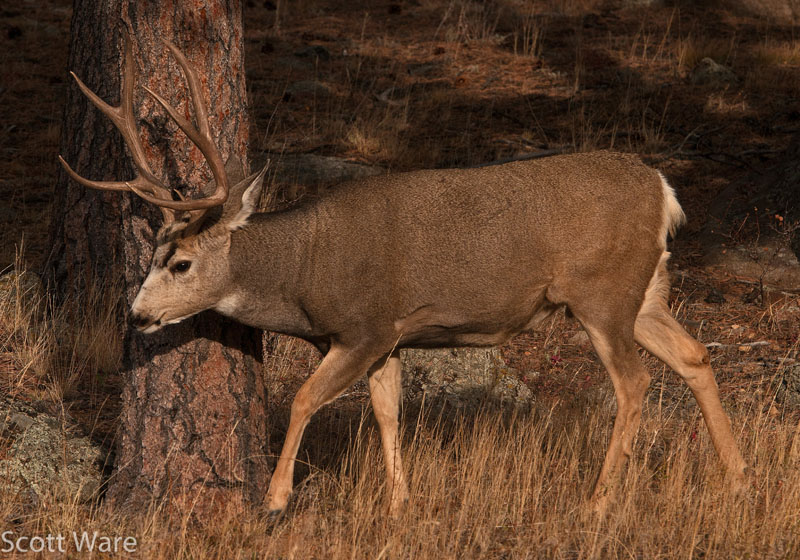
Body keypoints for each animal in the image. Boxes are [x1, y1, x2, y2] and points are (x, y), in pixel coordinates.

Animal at [59, 37, 749, 518]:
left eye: (180, 262)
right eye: (150, 254)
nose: (138, 315)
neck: (303, 271)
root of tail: (662, 190)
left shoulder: (363, 325)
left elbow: (306, 397)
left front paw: (276, 499)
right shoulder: (390, 337)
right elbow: (387, 412)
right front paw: (400, 504)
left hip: (600, 291)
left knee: (634, 383)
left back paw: (598, 502)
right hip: (645, 290)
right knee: (695, 355)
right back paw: (738, 477)